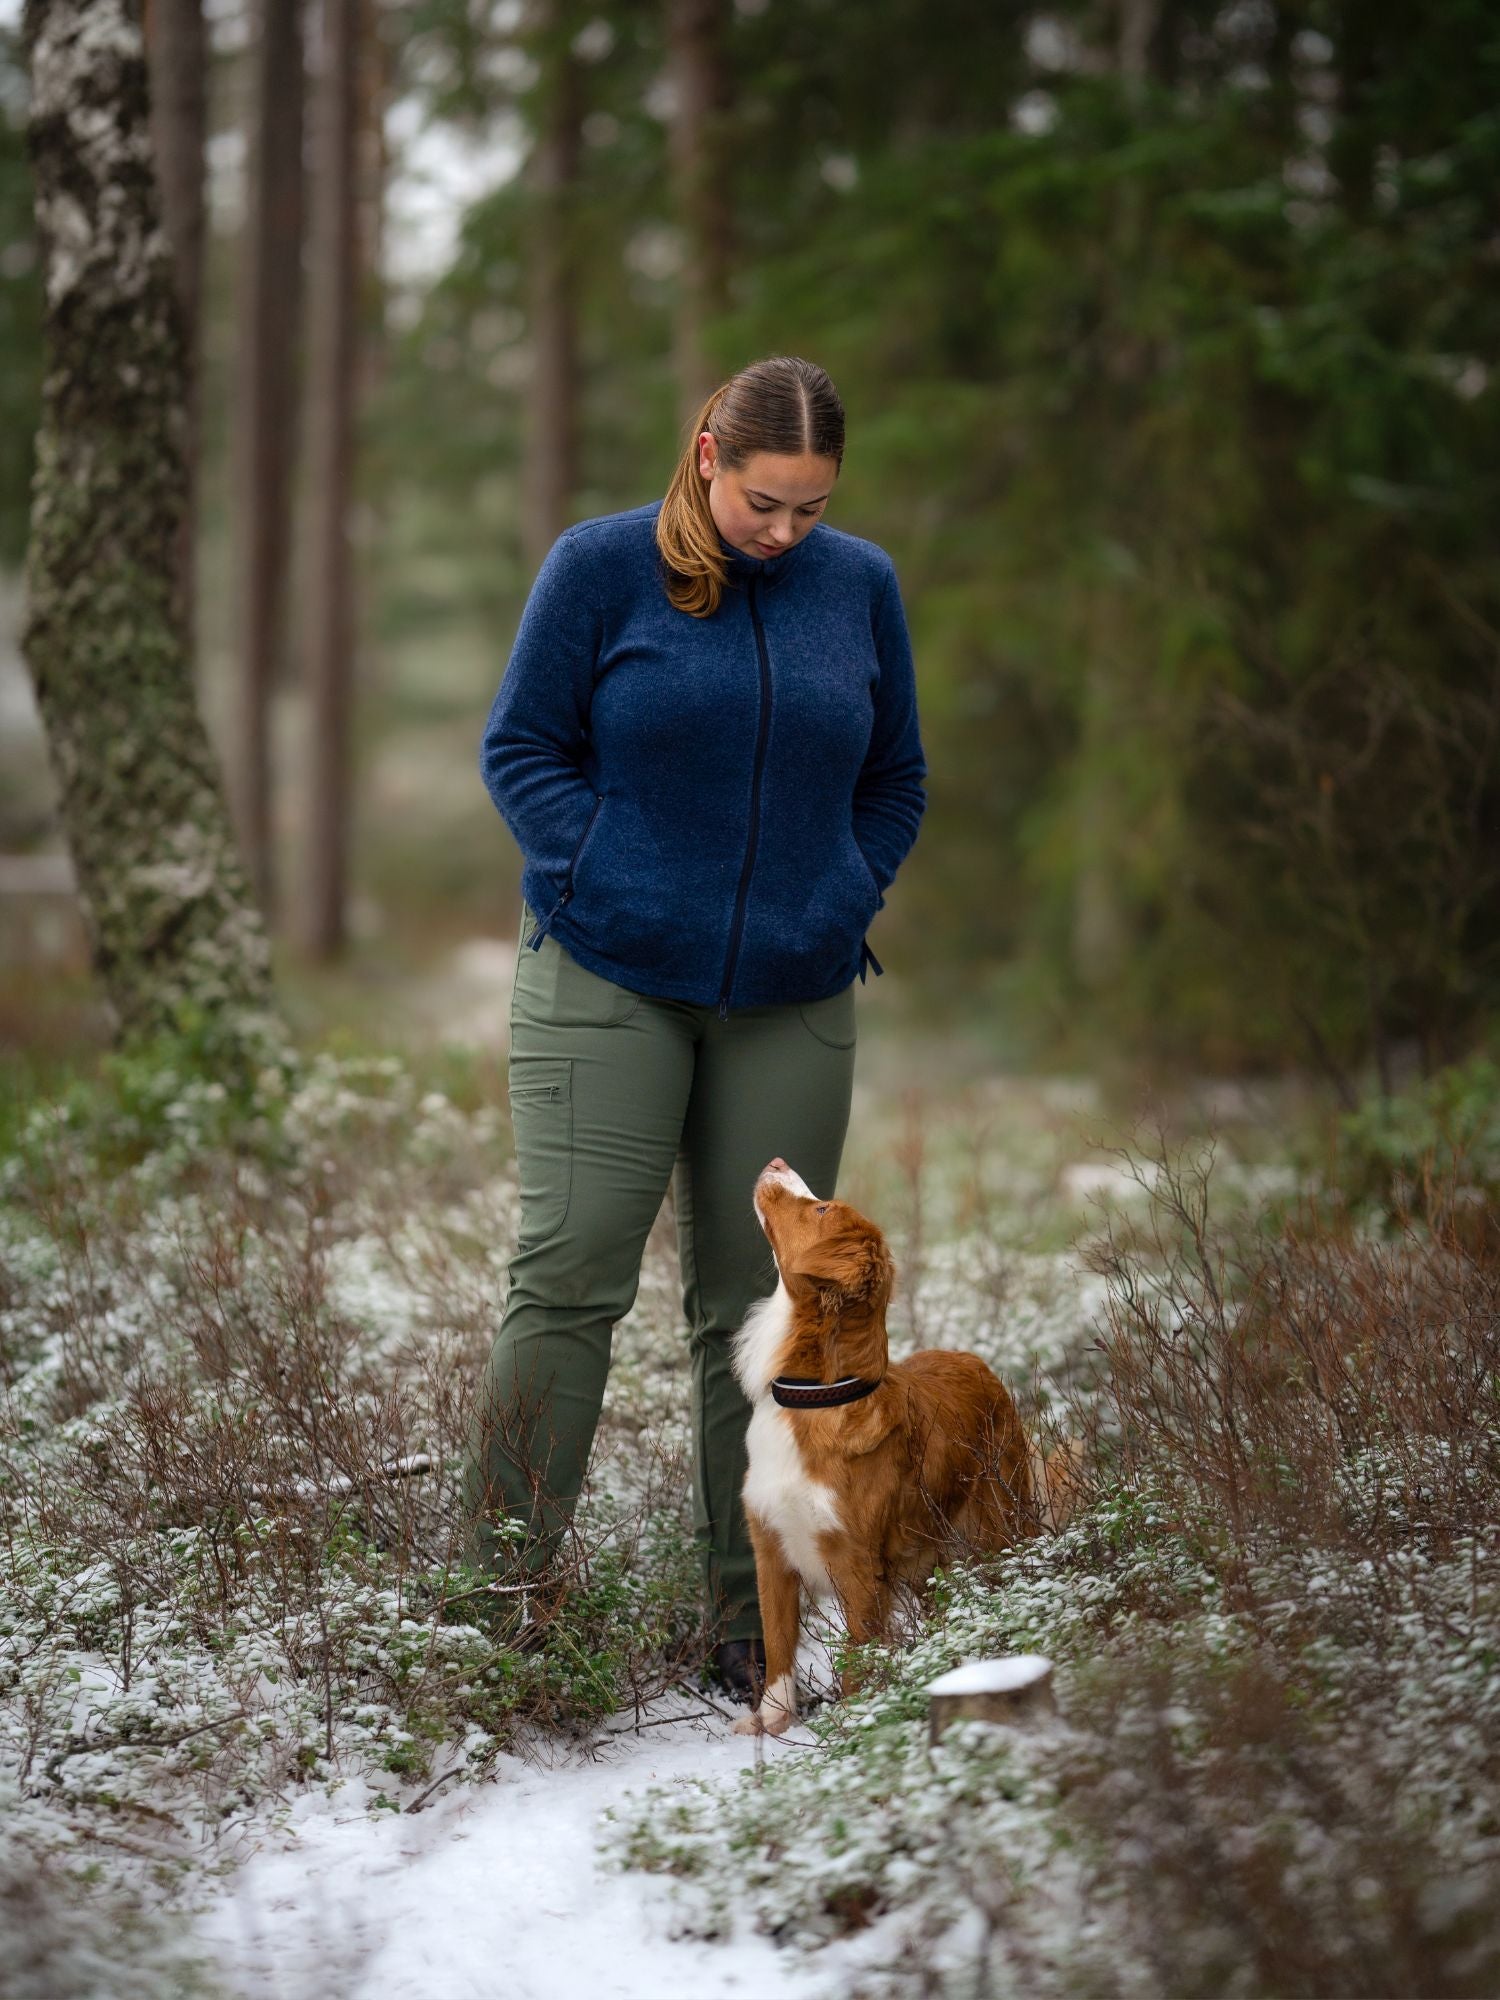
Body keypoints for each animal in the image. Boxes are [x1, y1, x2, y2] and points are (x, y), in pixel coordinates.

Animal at [732, 1160, 1072, 1736]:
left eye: (821, 1208)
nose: (776, 1164)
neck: (815, 1399)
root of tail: (975, 1359)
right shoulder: (770, 1547)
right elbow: (778, 1645)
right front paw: (772, 1719)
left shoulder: (858, 1565)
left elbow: (858, 1654)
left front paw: (855, 1723)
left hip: (997, 1525)